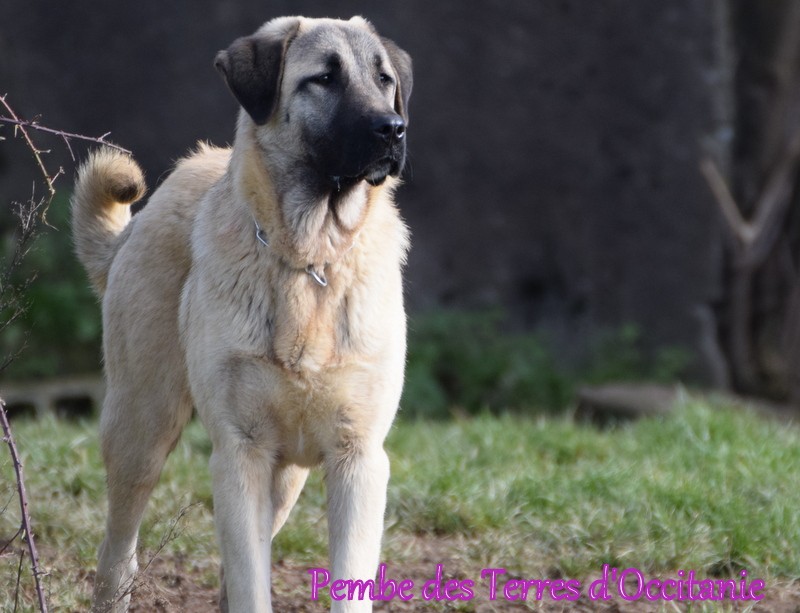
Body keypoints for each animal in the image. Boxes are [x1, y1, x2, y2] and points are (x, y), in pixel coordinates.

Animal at [70, 15, 412, 612]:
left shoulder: (359, 461)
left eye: (384, 79)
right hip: (141, 428)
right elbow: (251, 582)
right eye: (325, 78)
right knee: (117, 551)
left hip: (285, 480)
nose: (393, 128)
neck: (309, 259)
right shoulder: (239, 455)